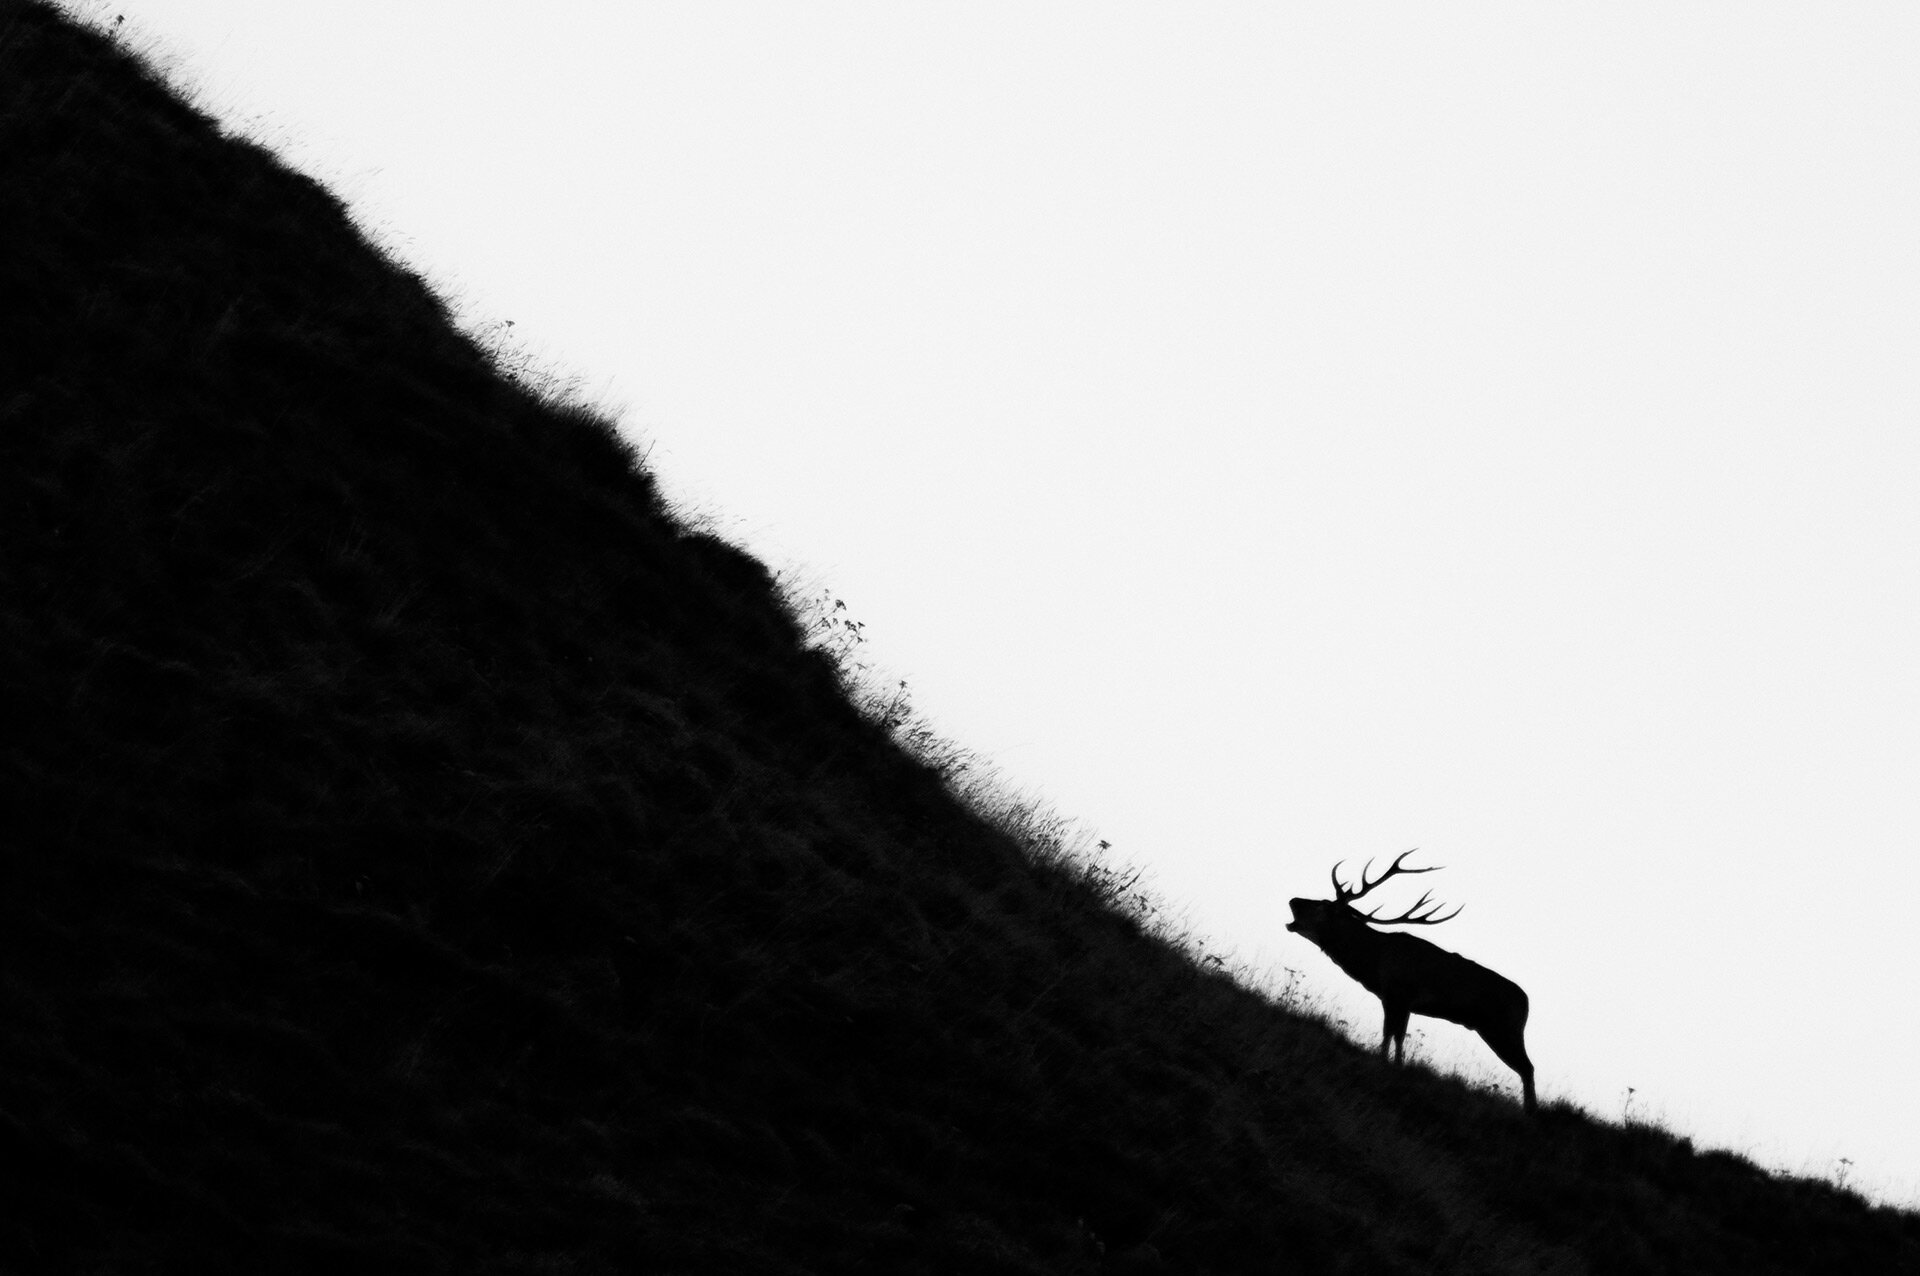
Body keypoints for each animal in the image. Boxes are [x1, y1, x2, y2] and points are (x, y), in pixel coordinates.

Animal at [1286, 851, 1535, 1113]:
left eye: (1323, 905)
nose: (1293, 900)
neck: (1374, 960)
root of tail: (1527, 1003)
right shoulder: (1405, 1004)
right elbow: (1399, 1035)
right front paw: (1397, 1065)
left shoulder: (1395, 994)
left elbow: (1388, 1032)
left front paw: (1383, 1061)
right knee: (1526, 1067)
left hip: (1503, 1029)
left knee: (1527, 1067)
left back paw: (1530, 1111)